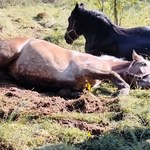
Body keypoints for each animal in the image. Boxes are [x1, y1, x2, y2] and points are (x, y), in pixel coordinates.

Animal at [0, 37, 150, 97]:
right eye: (144, 64)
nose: (147, 83)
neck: (104, 63)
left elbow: (66, 92)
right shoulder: (85, 70)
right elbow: (113, 74)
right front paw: (122, 91)